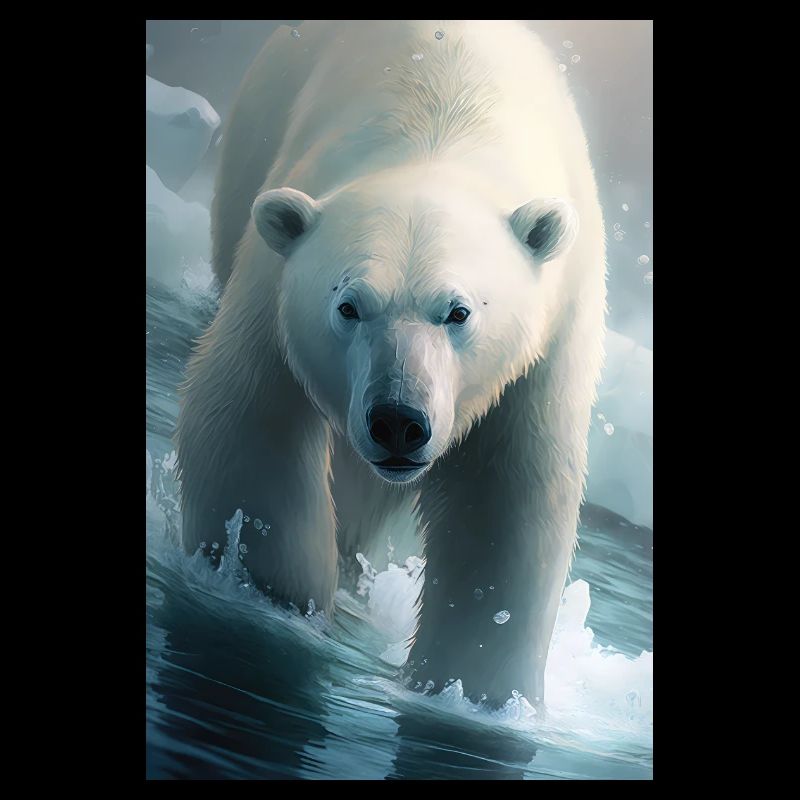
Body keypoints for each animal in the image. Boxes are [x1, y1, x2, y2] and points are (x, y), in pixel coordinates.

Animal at [175, 20, 606, 708]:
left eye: (458, 311)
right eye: (348, 305)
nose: (398, 421)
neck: (444, 126)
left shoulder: (545, 344)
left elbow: (506, 507)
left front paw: (475, 690)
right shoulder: (277, 286)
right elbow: (249, 425)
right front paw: (276, 602)